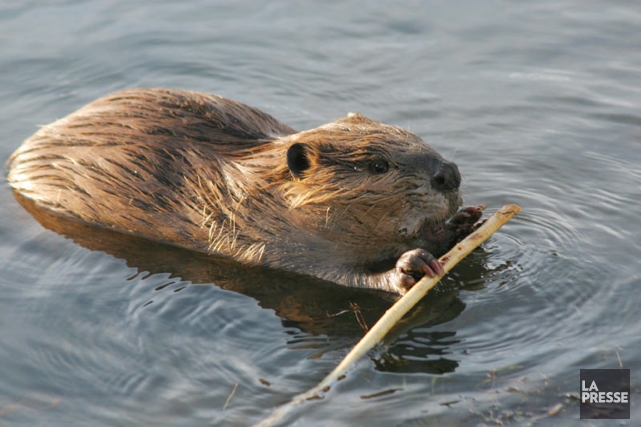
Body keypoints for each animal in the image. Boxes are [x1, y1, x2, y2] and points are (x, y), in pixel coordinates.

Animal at [7, 87, 482, 294]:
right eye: (377, 164)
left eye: (413, 134)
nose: (450, 174)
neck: (255, 183)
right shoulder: (265, 238)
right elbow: (334, 276)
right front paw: (409, 267)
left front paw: (465, 221)